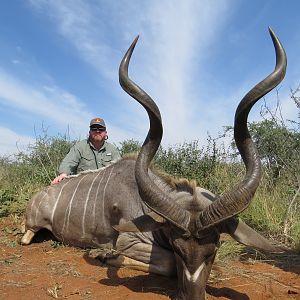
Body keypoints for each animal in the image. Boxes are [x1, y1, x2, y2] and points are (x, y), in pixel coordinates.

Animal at [22, 27, 286, 298]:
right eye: (177, 248)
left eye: (213, 250)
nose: (192, 295)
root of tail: (40, 194)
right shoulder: (128, 240)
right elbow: (165, 264)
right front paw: (104, 254)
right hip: (32, 226)